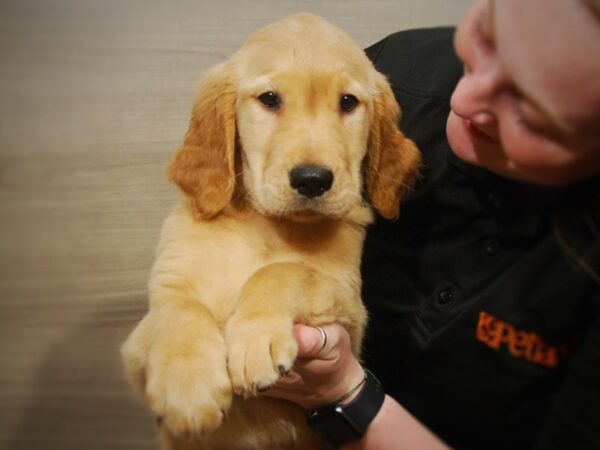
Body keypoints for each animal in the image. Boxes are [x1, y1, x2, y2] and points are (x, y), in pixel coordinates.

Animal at [121, 12, 420, 450]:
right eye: (269, 99)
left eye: (348, 102)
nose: (313, 180)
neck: (262, 227)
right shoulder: (142, 333)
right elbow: (177, 309)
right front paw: (189, 386)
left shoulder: (350, 311)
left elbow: (284, 271)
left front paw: (254, 339)